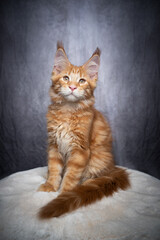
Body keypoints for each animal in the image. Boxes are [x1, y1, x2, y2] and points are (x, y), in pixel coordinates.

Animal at [37, 42, 130, 218]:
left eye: (82, 81)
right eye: (66, 78)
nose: (73, 87)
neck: (67, 110)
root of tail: (113, 167)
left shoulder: (80, 150)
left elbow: (71, 175)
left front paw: (64, 193)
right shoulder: (54, 145)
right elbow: (54, 169)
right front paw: (51, 186)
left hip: (98, 159)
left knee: (97, 177)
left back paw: (87, 184)